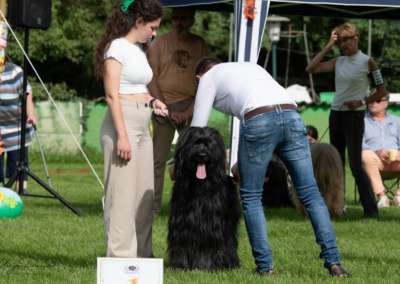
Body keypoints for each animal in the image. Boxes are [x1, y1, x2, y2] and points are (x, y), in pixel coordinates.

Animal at [167, 126, 239, 270]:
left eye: (209, 143)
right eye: (195, 143)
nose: (202, 155)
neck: (199, 184)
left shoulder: (210, 223)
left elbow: (208, 244)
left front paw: (204, 265)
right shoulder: (181, 221)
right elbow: (180, 242)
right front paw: (179, 264)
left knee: (229, 241)